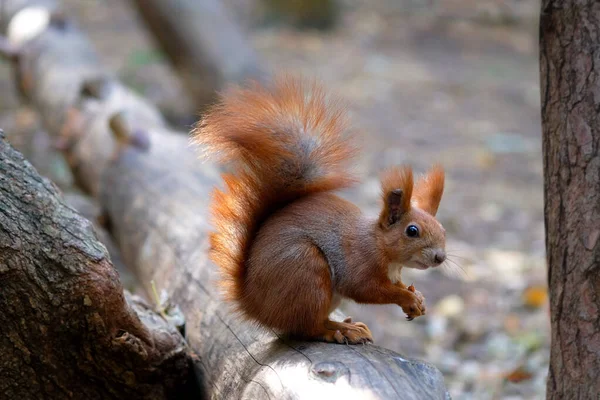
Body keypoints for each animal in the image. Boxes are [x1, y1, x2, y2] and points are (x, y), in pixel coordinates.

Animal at [192, 75, 446, 344]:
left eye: (443, 230)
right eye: (412, 231)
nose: (440, 257)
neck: (381, 247)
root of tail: (254, 305)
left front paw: (417, 298)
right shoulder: (358, 263)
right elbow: (368, 290)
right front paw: (407, 298)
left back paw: (347, 325)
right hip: (307, 274)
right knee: (309, 328)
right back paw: (339, 332)